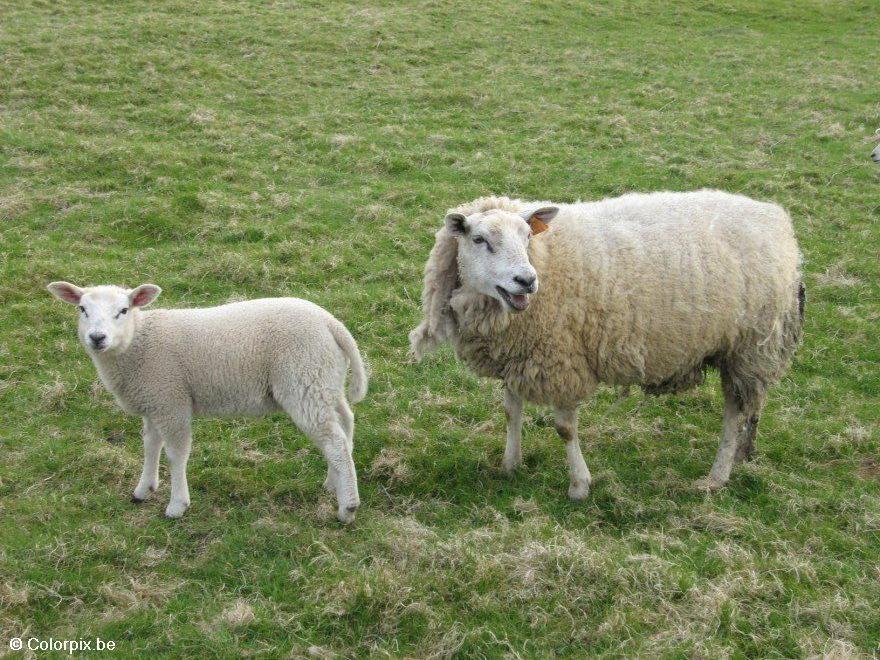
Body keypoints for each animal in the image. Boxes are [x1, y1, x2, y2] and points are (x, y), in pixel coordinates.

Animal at [45, 282, 368, 524]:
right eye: (82, 309)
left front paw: (177, 505)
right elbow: (150, 445)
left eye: (123, 311)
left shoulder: (171, 400)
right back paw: (334, 482)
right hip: (324, 381)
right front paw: (143, 489)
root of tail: (332, 324)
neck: (138, 343)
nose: (97, 337)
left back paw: (348, 507)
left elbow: (176, 454)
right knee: (345, 425)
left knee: (335, 442)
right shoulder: (153, 400)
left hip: (304, 380)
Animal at [410, 188, 804, 498]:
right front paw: (510, 464)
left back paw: (716, 476)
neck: (549, 258)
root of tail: (780, 225)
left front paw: (579, 486)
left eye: (527, 237)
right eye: (479, 240)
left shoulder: (561, 357)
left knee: (735, 412)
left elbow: (565, 429)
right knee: (752, 406)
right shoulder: (517, 356)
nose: (526, 280)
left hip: (748, 346)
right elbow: (511, 412)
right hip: (746, 352)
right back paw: (742, 455)